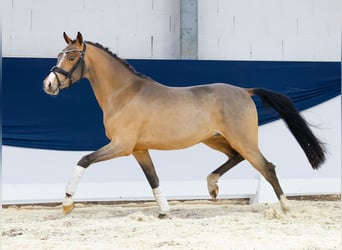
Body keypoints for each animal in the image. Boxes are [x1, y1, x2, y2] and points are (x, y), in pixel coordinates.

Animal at [43, 32, 326, 217]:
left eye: (71, 58)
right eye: (58, 55)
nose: (48, 84)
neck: (124, 94)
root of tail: (245, 91)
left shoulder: (121, 146)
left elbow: (83, 160)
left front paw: (67, 204)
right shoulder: (139, 149)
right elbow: (153, 178)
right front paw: (165, 212)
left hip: (243, 139)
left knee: (267, 167)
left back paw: (286, 208)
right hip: (214, 138)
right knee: (235, 158)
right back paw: (212, 187)